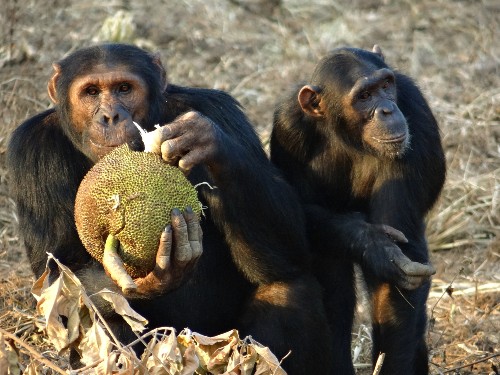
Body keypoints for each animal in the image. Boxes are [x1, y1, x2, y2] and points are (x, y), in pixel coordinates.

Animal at [6, 44, 332, 374]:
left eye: (124, 89)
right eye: (91, 92)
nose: (110, 116)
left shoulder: (219, 110)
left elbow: (289, 249)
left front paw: (206, 140)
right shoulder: (30, 149)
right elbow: (57, 279)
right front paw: (148, 279)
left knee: (288, 286)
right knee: (108, 318)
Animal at [270, 47, 446, 375]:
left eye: (385, 85)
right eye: (364, 96)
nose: (387, 110)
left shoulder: (413, 109)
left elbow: (400, 275)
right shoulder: (288, 127)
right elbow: (295, 209)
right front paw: (371, 242)